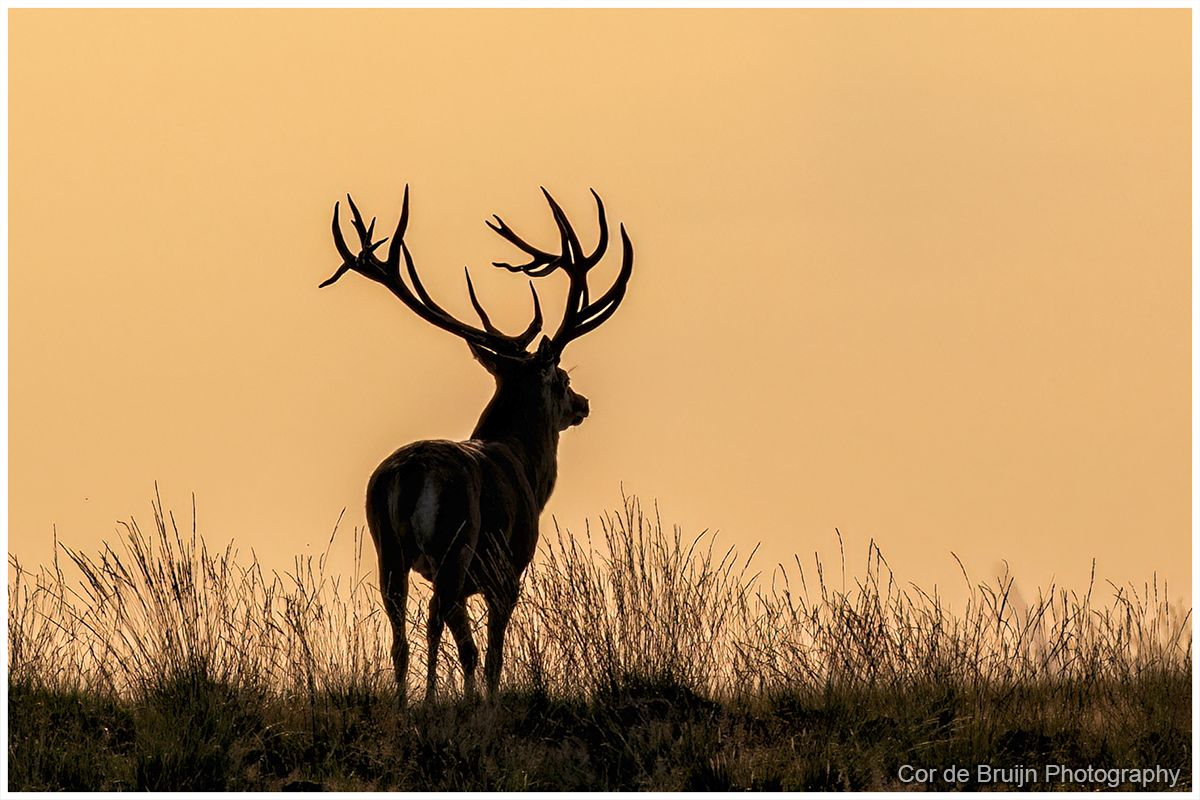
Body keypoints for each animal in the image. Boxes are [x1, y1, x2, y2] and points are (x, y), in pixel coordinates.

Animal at [320, 185, 633, 704]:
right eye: (563, 379)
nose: (583, 404)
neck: (525, 467)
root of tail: (409, 472)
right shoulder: (508, 569)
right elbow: (491, 656)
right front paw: (484, 704)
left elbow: (455, 643)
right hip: (457, 539)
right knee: (442, 630)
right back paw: (437, 701)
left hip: (389, 548)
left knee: (402, 635)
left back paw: (407, 703)